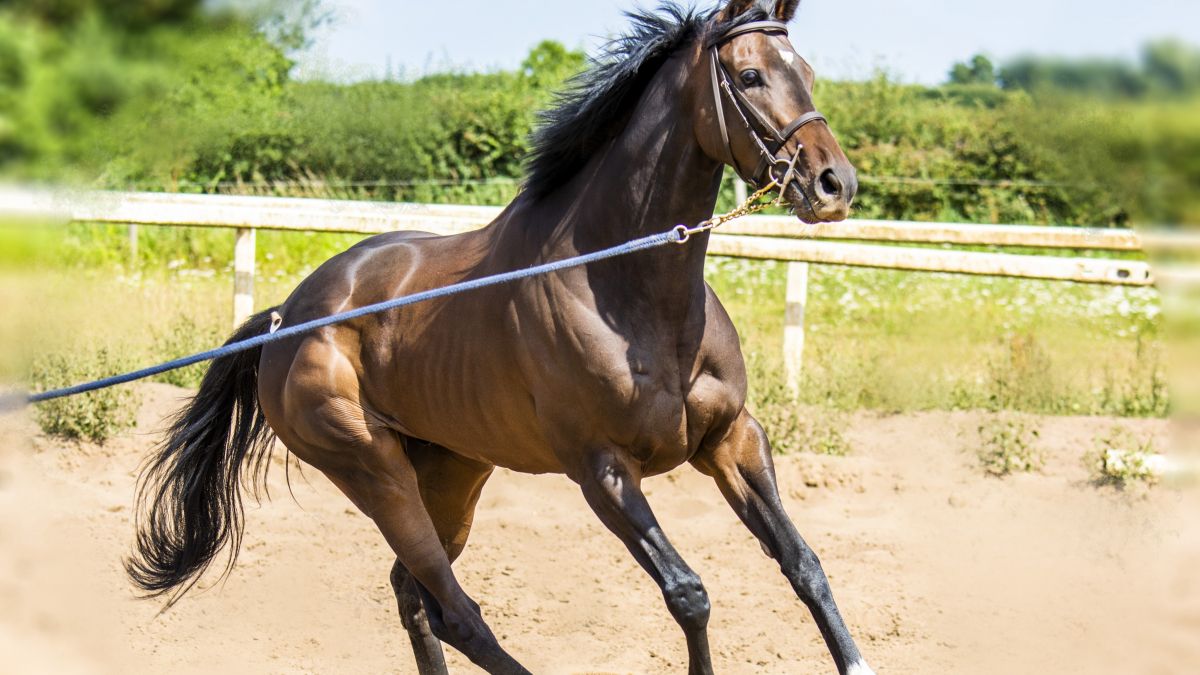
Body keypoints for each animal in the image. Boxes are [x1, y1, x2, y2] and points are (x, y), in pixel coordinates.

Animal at [126, 1, 873, 672]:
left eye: (807, 71)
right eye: (749, 75)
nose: (834, 183)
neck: (625, 289)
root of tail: (288, 319)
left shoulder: (731, 439)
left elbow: (803, 563)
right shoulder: (602, 470)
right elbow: (688, 593)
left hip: (454, 469)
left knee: (414, 596)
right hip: (374, 471)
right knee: (457, 611)